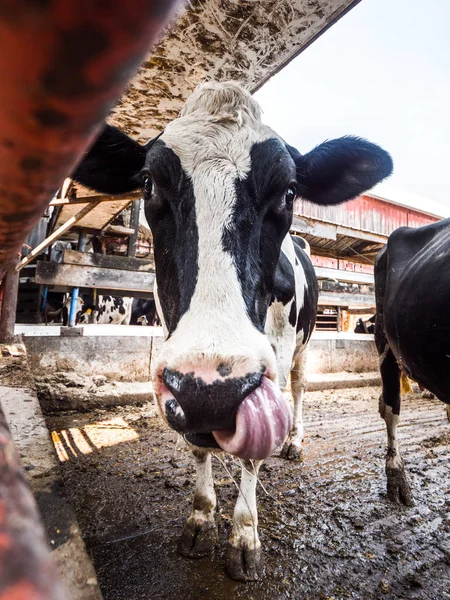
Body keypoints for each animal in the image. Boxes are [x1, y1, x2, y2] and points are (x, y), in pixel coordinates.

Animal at [72, 81, 392, 580]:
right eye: (147, 183)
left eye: (289, 192)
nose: (212, 395)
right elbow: (197, 448)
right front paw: (201, 518)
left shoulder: (269, 358)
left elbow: (252, 451)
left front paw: (244, 536)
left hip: (302, 347)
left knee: (299, 386)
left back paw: (294, 440)